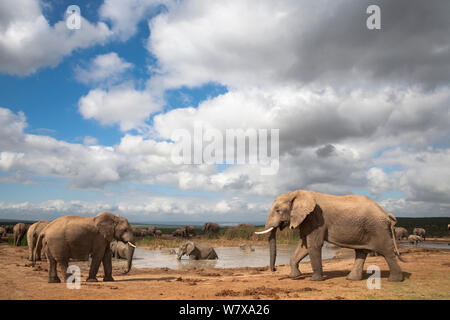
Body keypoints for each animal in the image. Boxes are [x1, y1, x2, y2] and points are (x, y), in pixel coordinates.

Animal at [255, 191, 406, 282]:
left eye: (278, 210)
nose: (274, 270)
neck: (296, 193)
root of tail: (386, 214)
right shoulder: (307, 219)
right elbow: (304, 246)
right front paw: (294, 276)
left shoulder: (316, 218)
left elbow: (313, 245)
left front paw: (315, 280)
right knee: (361, 252)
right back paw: (351, 279)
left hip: (377, 228)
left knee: (386, 252)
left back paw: (395, 280)